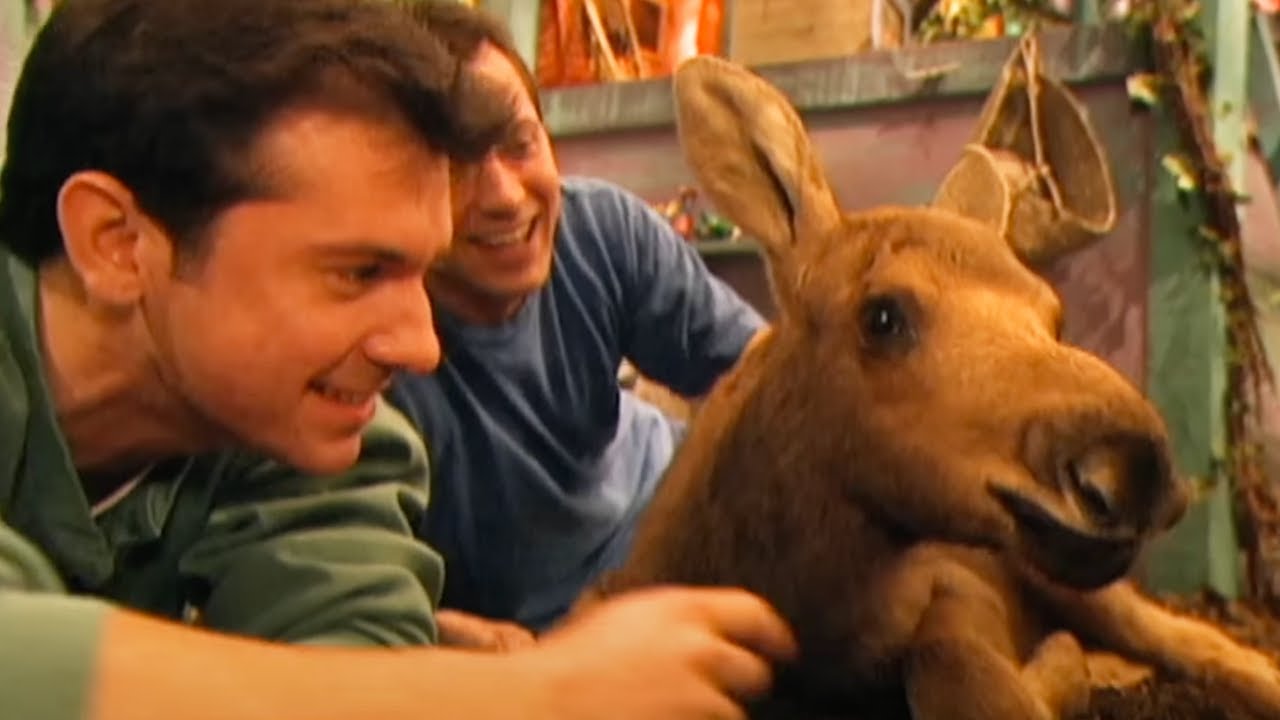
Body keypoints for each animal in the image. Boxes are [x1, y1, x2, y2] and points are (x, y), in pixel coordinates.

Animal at [586, 53, 1280, 720]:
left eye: (1054, 316)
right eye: (881, 316)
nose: (1133, 467)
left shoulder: (956, 587)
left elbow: (954, 667)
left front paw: (1061, 670)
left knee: (1198, 641)